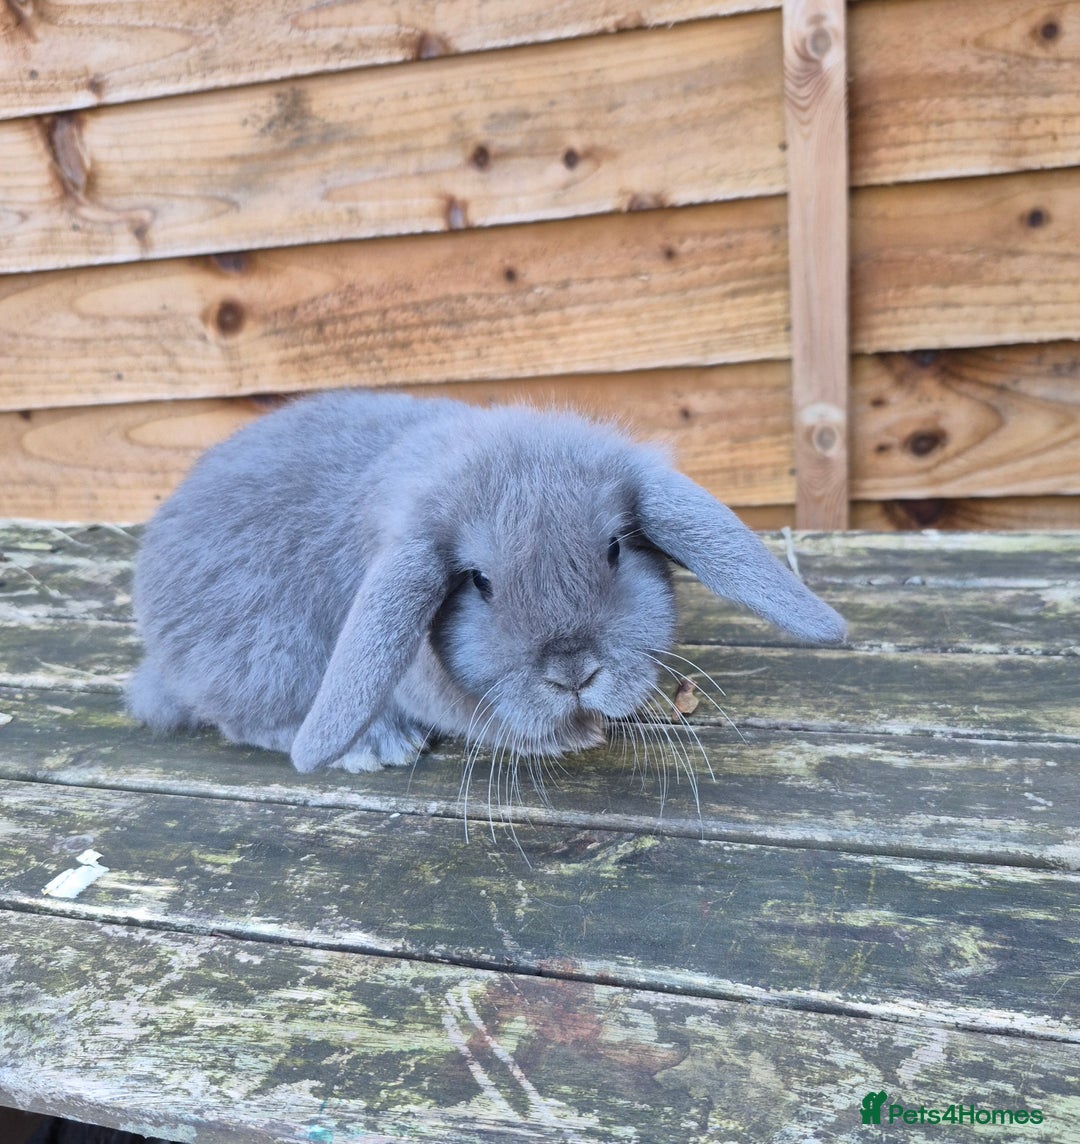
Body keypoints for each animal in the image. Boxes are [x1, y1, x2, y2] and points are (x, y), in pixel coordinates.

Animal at [125, 390, 845, 774]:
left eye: (615, 548)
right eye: (479, 581)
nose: (573, 673)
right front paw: (578, 733)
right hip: (265, 665)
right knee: (253, 723)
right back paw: (376, 746)